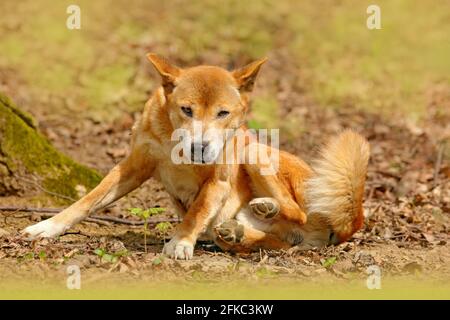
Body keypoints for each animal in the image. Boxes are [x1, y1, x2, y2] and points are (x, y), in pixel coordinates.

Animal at [22, 54, 370, 260]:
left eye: (223, 113)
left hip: (253, 151)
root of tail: (350, 219)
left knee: (296, 212)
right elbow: (87, 201)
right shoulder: (133, 166)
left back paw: (264, 209)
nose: (199, 147)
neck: (175, 147)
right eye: (186, 109)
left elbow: (197, 210)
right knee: (277, 241)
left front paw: (181, 242)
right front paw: (48, 227)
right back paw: (239, 230)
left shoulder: (218, 181)